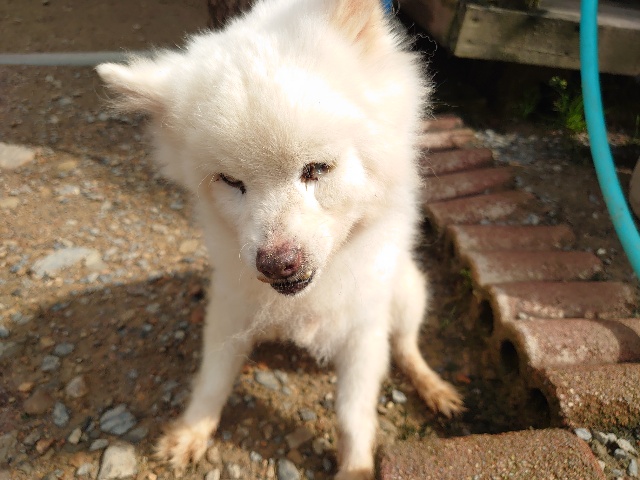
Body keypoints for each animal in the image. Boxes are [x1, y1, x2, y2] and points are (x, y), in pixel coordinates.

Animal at [97, 0, 463, 477]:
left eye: (317, 169)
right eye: (230, 181)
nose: (276, 264)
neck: (307, 300)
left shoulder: (364, 331)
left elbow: (353, 412)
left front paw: (356, 466)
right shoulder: (230, 311)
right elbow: (212, 380)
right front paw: (191, 433)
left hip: (409, 289)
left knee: (405, 346)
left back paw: (433, 386)